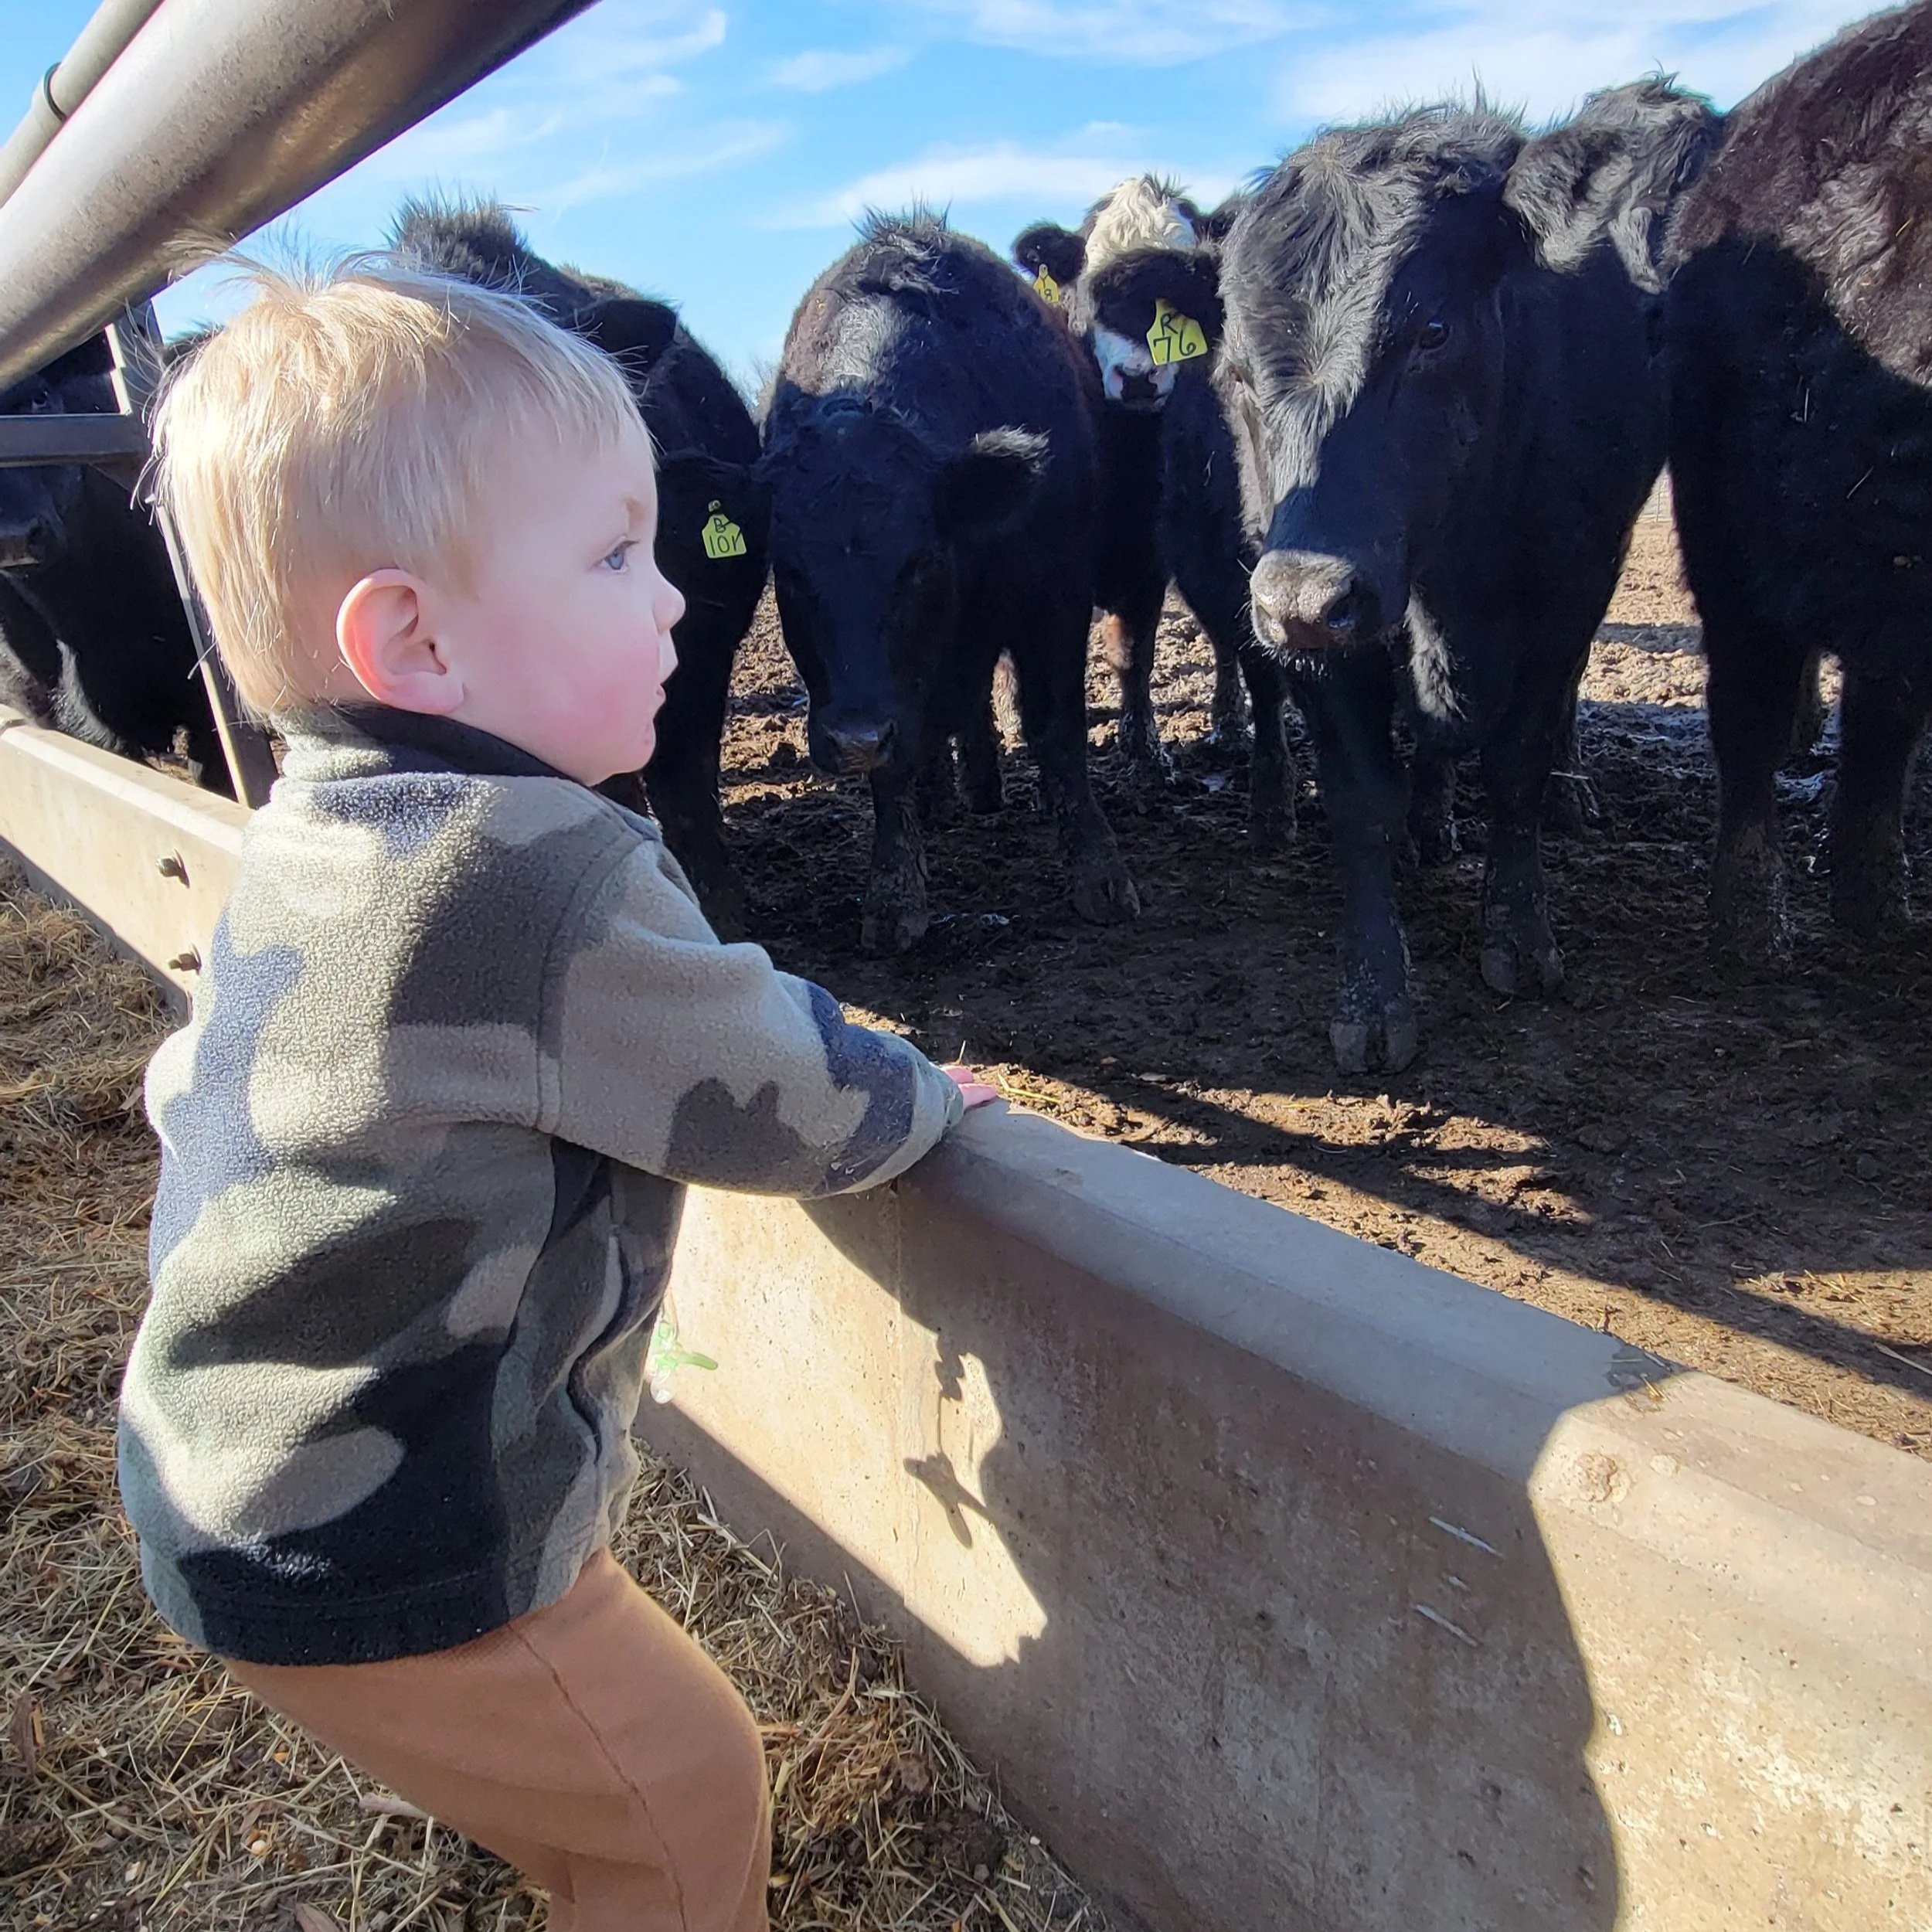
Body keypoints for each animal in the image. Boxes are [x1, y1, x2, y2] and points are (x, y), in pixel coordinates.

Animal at [762, 212, 1139, 952]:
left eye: (920, 562)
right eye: (787, 572)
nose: (853, 739)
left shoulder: (1057, 595)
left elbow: (1058, 727)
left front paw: (1100, 870)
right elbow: (895, 770)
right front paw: (894, 894)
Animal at [1013, 180, 1296, 843]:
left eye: (1180, 299)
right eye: (1087, 288)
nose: (1139, 379)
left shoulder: (1148, 563)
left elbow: (1133, 655)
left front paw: (1145, 756)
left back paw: (1228, 724)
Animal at [1199, 83, 1721, 1071]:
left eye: (1431, 330)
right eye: (1234, 368)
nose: (1303, 596)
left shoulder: (1569, 584)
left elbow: (1516, 761)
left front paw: (1518, 936)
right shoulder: (1316, 621)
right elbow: (1361, 799)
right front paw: (1373, 996)